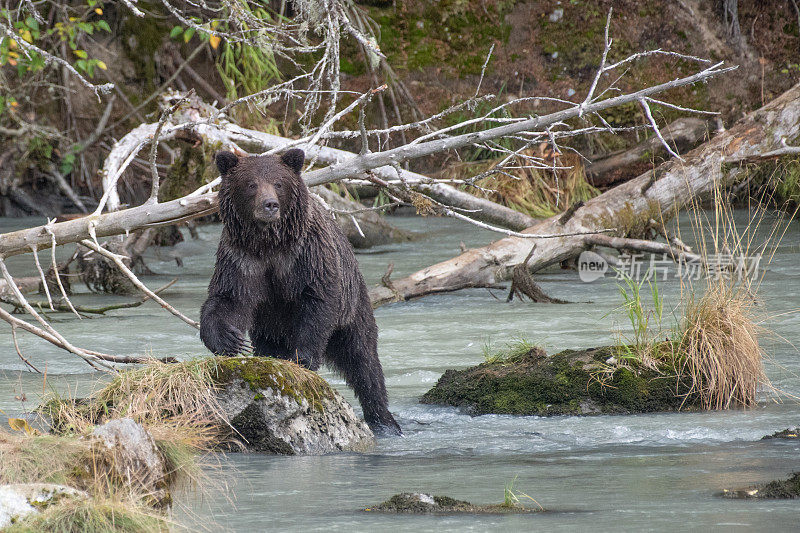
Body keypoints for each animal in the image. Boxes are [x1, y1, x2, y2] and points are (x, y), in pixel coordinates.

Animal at [200, 148, 400, 434]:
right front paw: (229, 339)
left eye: (278, 183)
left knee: (364, 360)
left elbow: (316, 300)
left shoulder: (307, 254)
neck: (270, 243)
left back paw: (384, 420)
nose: (270, 205)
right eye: (251, 184)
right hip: (269, 326)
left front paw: (303, 358)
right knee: (269, 343)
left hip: (352, 306)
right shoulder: (242, 258)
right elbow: (229, 298)